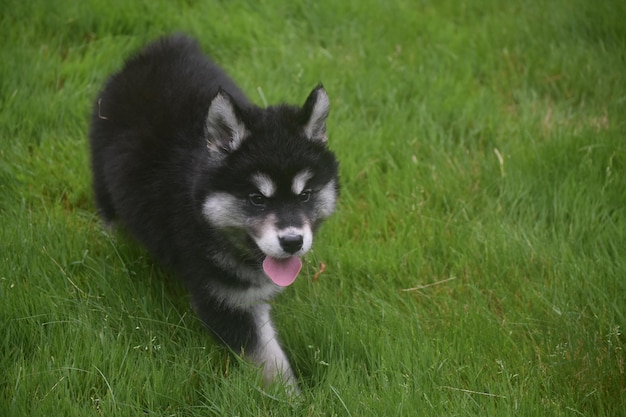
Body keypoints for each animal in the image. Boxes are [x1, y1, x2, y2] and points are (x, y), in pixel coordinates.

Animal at [88, 35, 336, 390]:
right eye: (256, 199)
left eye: (305, 195)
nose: (292, 242)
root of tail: (157, 50)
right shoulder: (226, 299)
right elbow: (268, 359)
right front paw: (292, 398)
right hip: (102, 171)